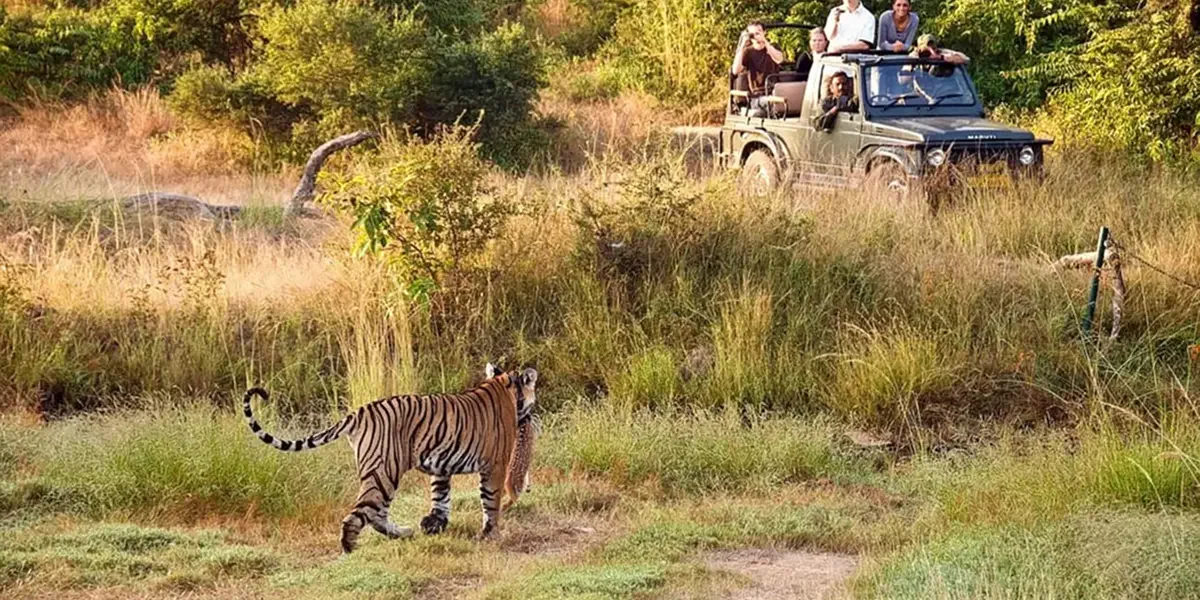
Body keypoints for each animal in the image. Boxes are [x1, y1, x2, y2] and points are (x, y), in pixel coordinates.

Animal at [243, 365, 538, 553]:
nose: (534, 415)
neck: (502, 386)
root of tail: (359, 412)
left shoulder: (442, 463)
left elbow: (441, 496)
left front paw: (434, 524)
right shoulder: (496, 465)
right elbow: (491, 501)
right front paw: (492, 533)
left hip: (383, 472)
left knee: (377, 514)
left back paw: (403, 533)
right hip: (384, 471)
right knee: (361, 514)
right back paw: (350, 548)